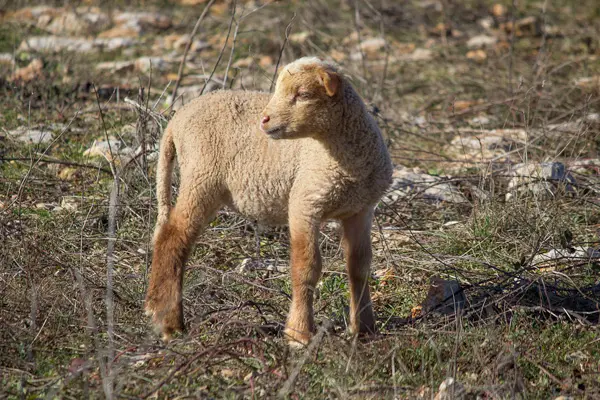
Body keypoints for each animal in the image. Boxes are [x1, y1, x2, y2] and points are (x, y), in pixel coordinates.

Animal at [146, 56, 394, 346]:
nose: (264, 120)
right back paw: (168, 322)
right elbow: (306, 267)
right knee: (173, 238)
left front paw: (364, 328)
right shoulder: (304, 204)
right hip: (201, 177)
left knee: (165, 234)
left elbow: (359, 266)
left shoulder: (361, 210)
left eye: (303, 94)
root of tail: (175, 121)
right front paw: (299, 333)